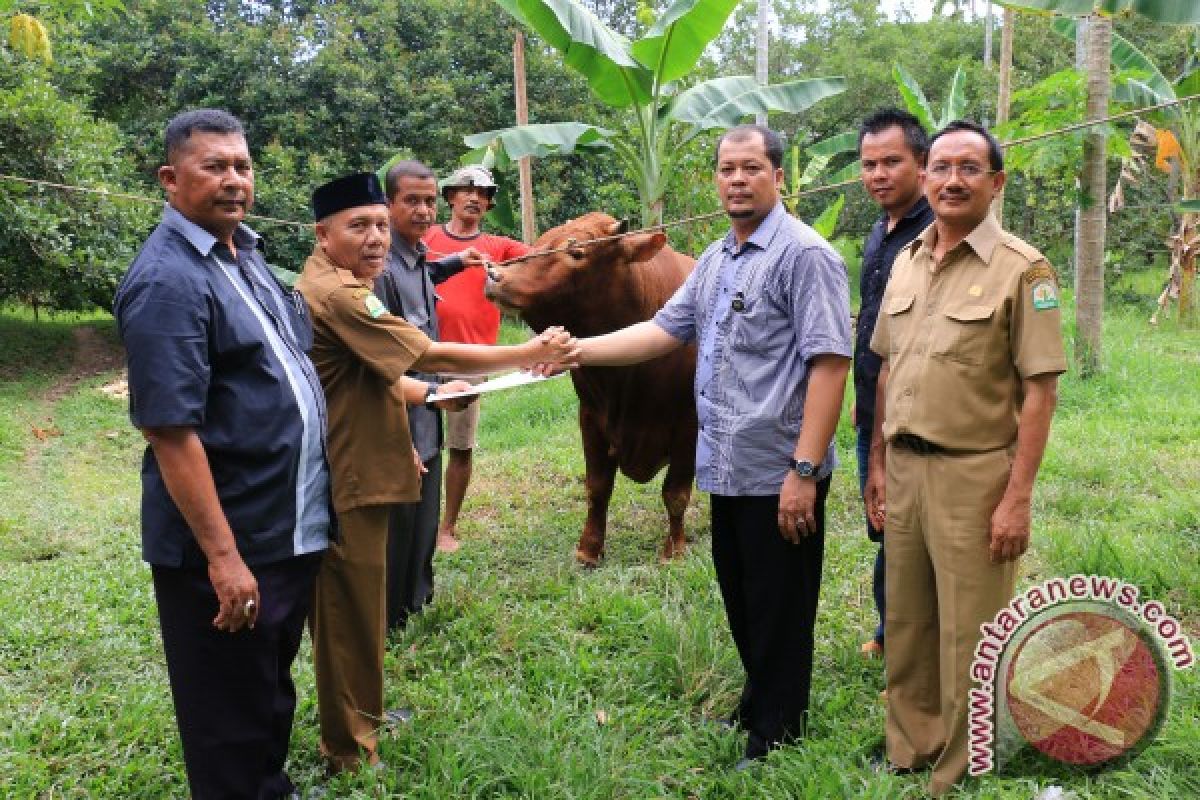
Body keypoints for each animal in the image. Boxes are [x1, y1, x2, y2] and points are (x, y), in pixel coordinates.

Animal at [482, 209, 700, 566]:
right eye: (539, 242)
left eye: (577, 251)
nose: (494, 274)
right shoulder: (591, 418)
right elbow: (597, 487)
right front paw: (589, 549)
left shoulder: (689, 426)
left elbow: (676, 494)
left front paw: (674, 550)